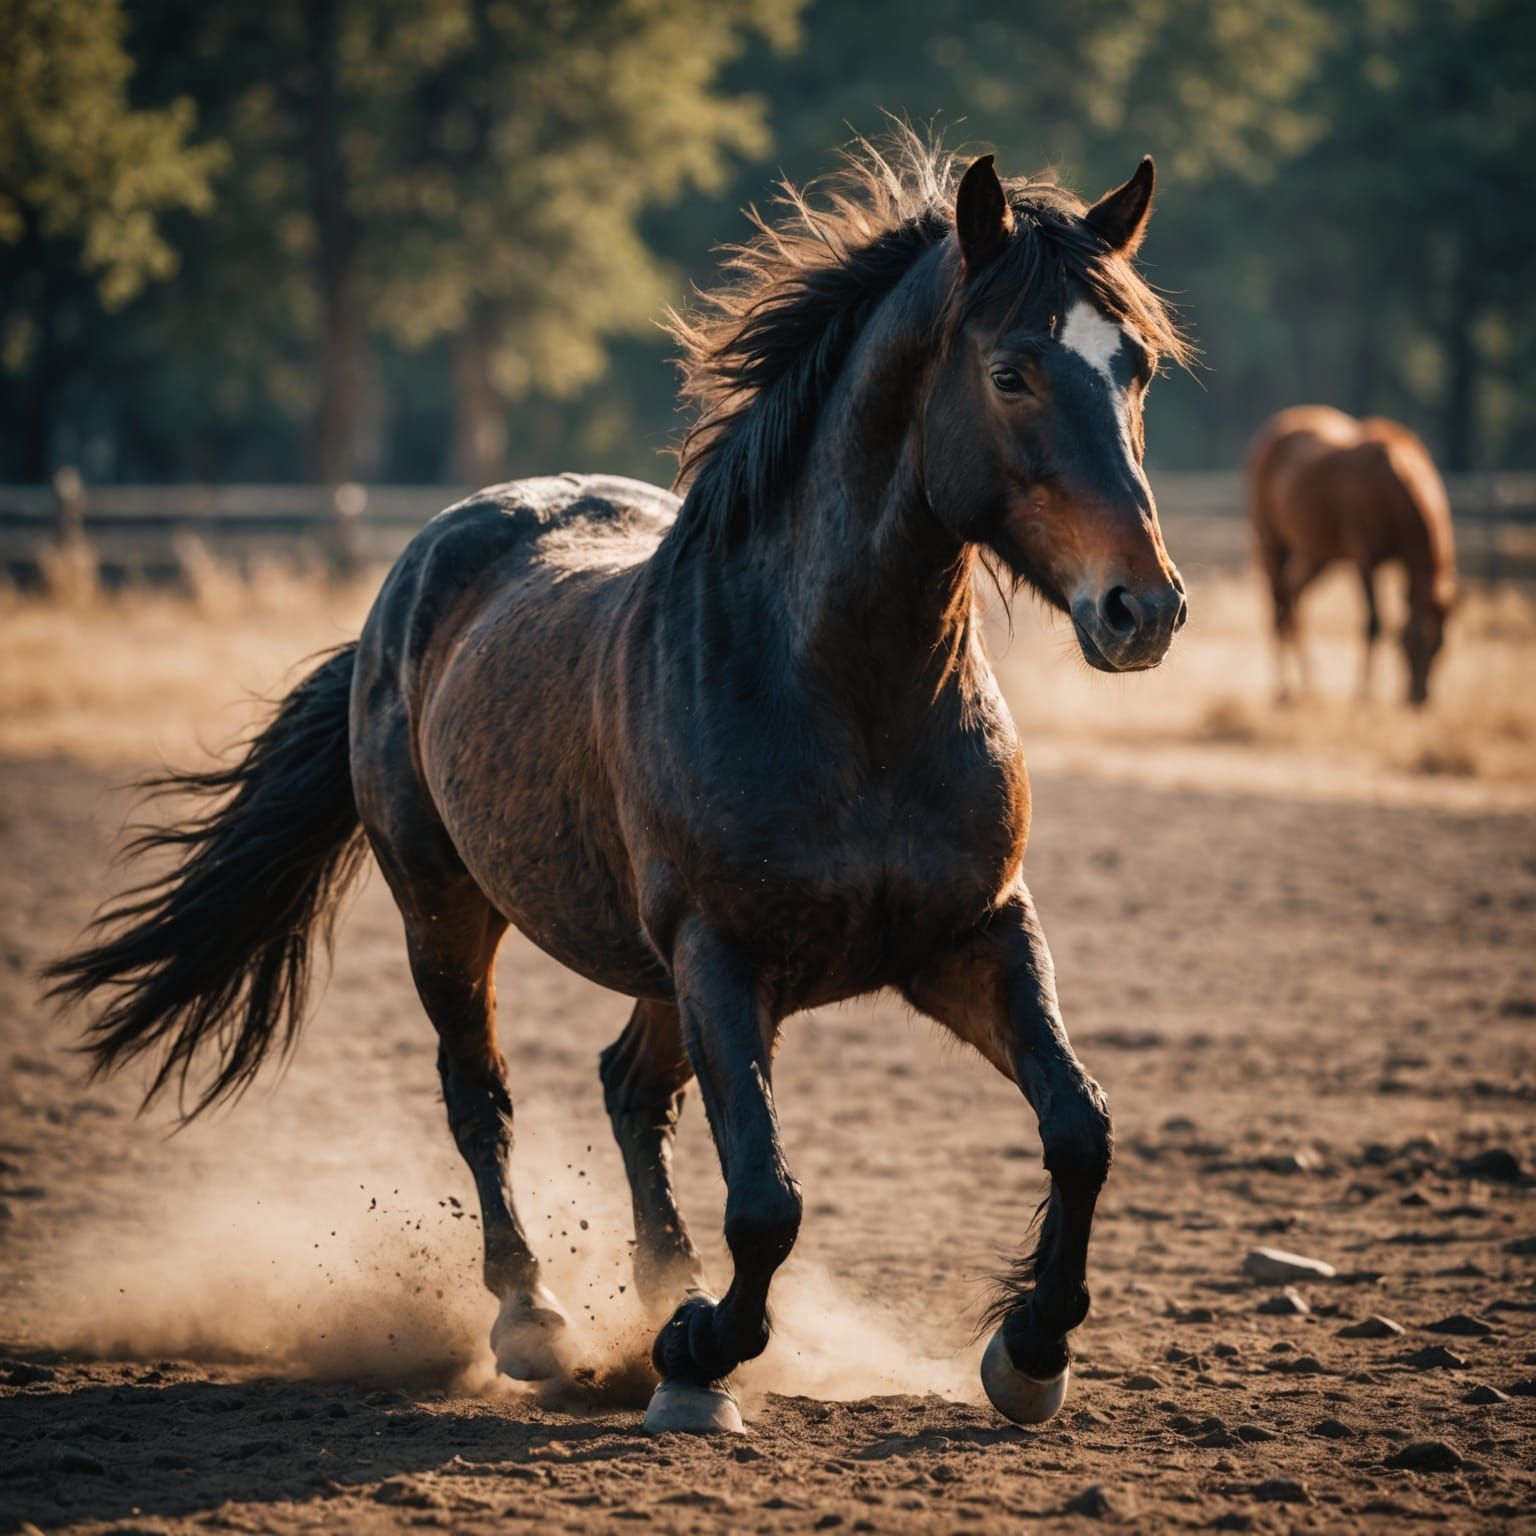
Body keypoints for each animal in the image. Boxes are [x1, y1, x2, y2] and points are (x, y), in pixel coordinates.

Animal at [45, 132, 1190, 1435]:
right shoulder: (723, 956)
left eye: (1138, 368)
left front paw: (1028, 1352)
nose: (1143, 609)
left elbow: (1080, 1127)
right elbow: (768, 1199)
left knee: (630, 1090)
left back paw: (660, 1292)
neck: (843, 696)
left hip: (659, 971)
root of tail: (419, 573)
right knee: (482, 1097)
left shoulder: (975, 934)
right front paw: (700, 1353)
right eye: (1010, 372)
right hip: (449, 912)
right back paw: (538, 1321)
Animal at [1248, 405, 1456, 706]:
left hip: (1316, 555)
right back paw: (1283, 690)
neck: (1392, 488)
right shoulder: (1364, 558)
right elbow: (1374, 623)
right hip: (1270, 542)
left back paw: (1309, 685)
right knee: (1277, 610)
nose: (1419, 698)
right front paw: (1364, 695)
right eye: (1412, 641)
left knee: (1292, 597)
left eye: (1441, 645)